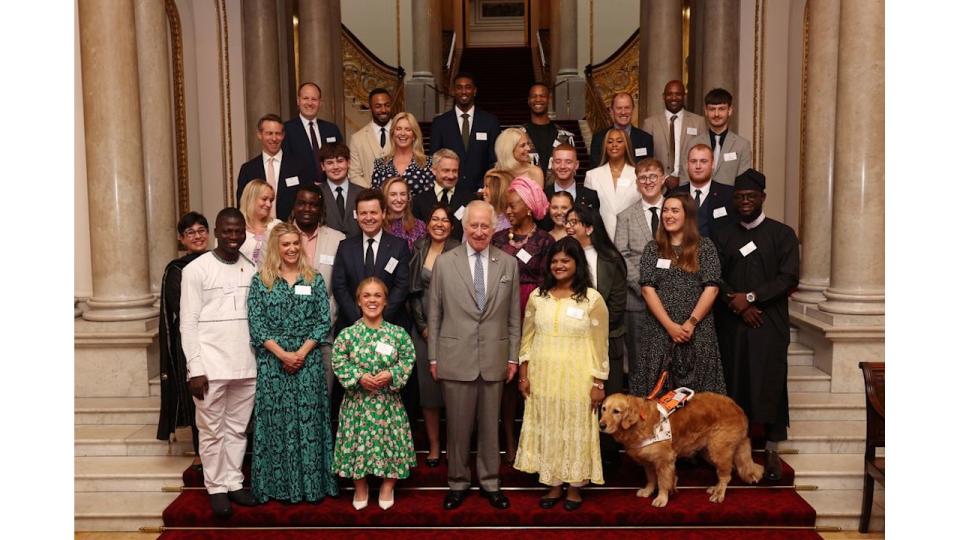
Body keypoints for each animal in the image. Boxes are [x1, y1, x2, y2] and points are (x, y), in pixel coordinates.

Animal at [600, 392, 764, 506]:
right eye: (603, 409)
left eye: (616, 411)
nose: (601, 425)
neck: (640, 423)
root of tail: (738, 408)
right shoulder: (649, 461)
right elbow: (651, 479)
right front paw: (648, 491)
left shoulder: (664, 460)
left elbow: (663, 481)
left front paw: (662, 498)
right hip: (709, 451)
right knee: (727, 471)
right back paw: (715, 488)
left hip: (718, 448)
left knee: (725, 475)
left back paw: (719, 493)